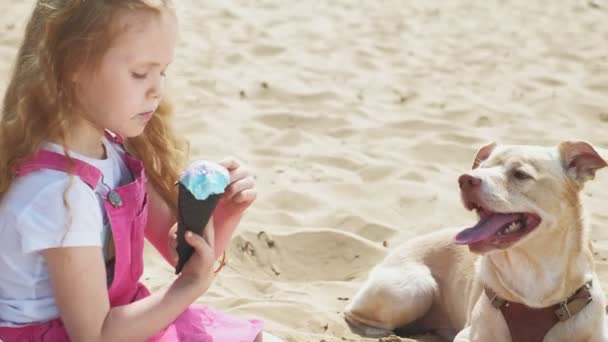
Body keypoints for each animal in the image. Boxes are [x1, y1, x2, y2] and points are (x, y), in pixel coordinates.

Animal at [344, 140, 608, 340]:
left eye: (520, 174)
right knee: (354, 313)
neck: (534, 283)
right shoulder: (469, 335)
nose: (465, 179)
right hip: (416, 288)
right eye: (480, 168)